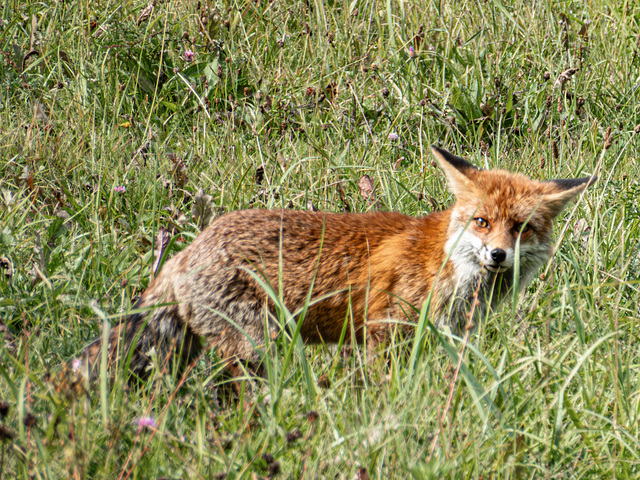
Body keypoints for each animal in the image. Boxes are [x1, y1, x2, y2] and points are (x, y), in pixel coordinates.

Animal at [84, 146, 596, 378]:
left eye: (521, 228)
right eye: (482, 221)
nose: (498, 255)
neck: (447, 265)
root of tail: (188, 250)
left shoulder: (448, 337)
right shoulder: (385, 330)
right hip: (257, 348)